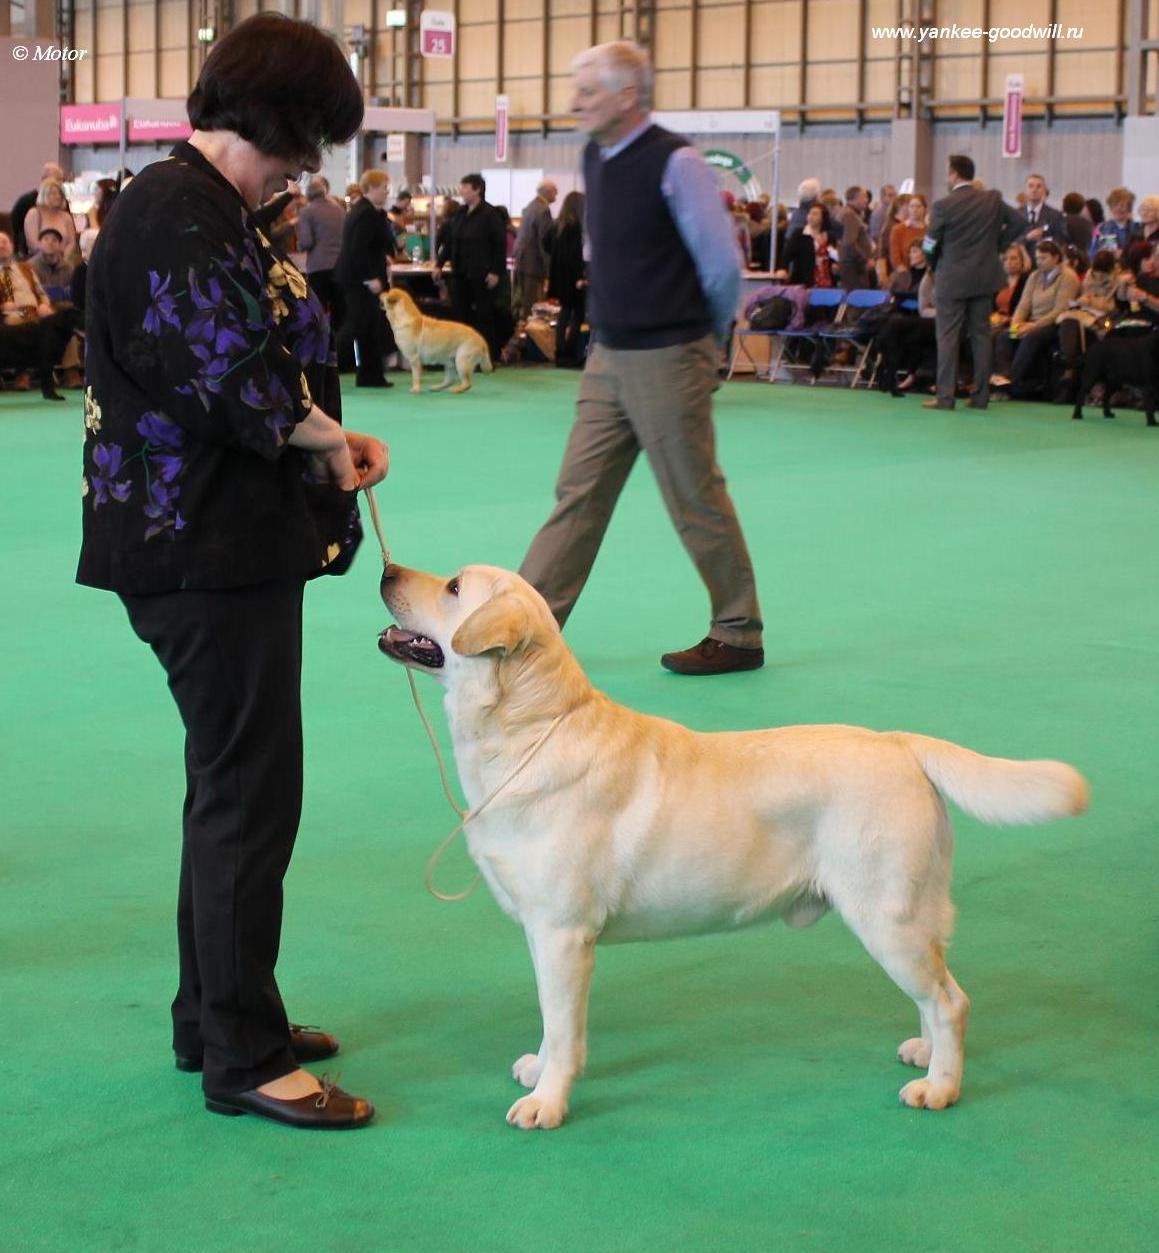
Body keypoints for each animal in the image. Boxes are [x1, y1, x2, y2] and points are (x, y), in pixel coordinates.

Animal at [378, 563, 1087, 1132]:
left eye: (453, 587)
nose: (384, 569)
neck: (530, 732)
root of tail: (900, 743)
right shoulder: (544, 933)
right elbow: (553, 1024)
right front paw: (540, 1068)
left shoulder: (562, 933)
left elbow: (564, 1026)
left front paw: (548, 1104)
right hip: (909, 916)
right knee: (935, 991)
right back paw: (926, 1054)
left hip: (887, 915)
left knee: (950, 1002)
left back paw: (939, 1086)